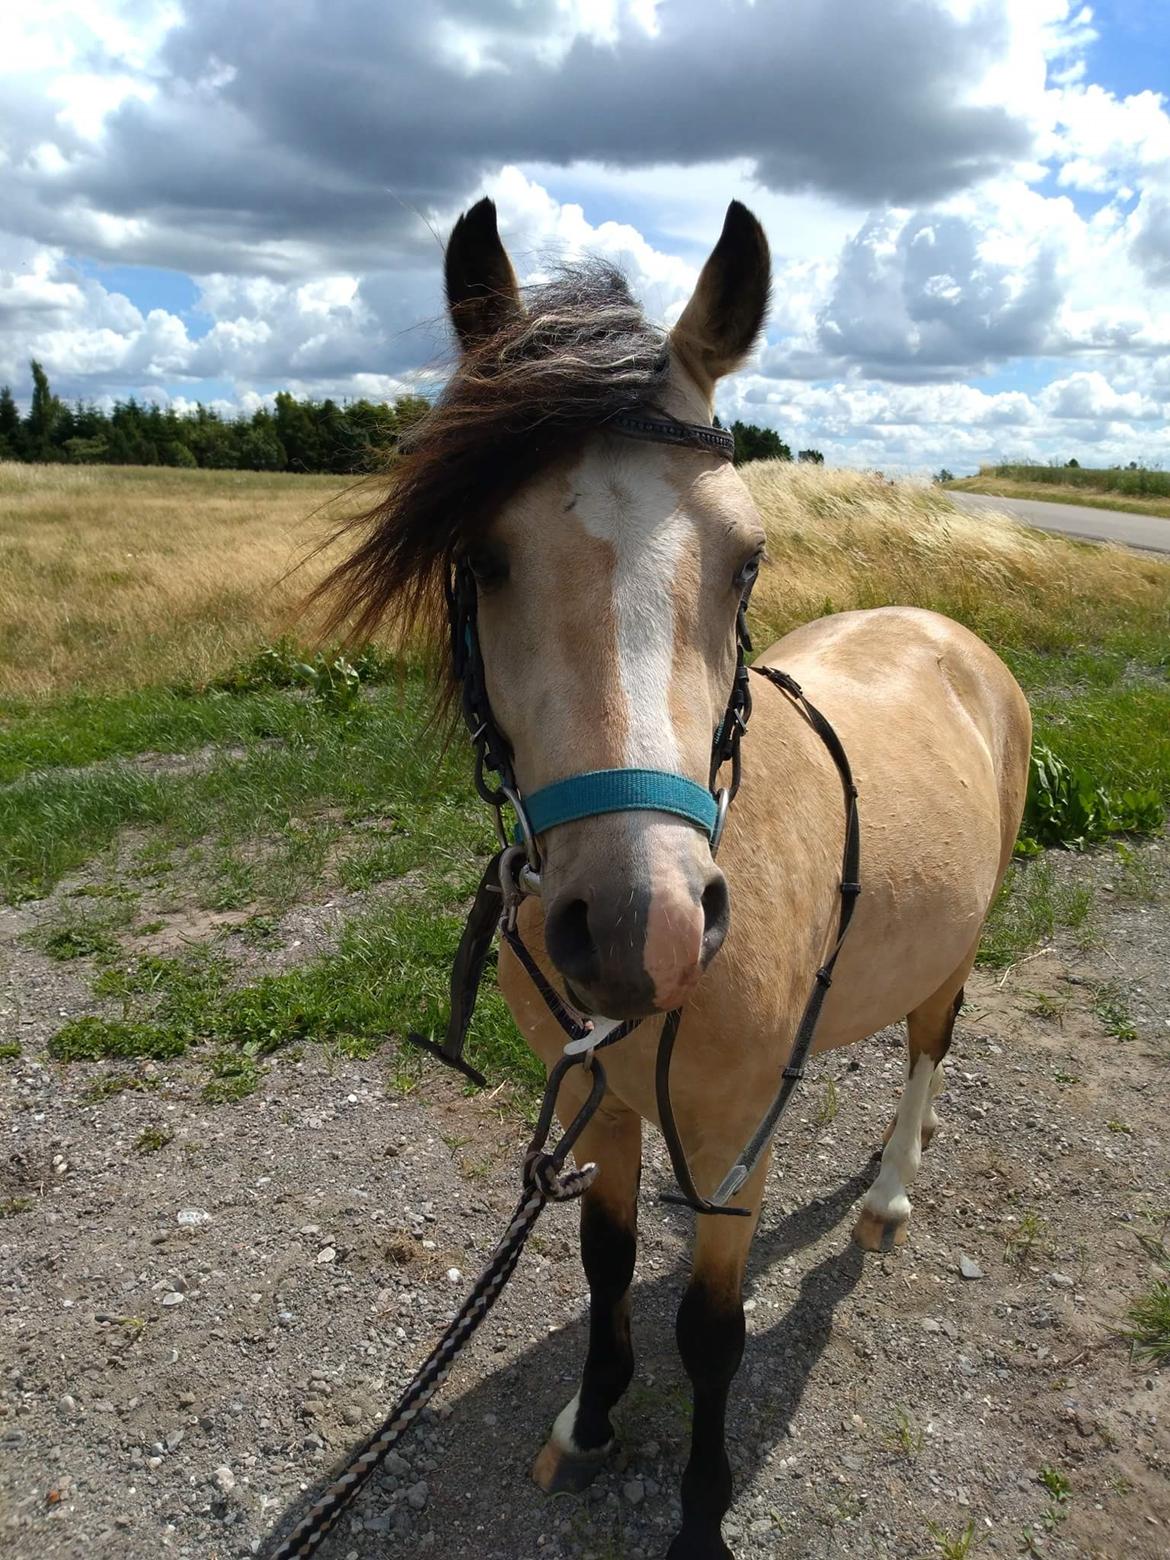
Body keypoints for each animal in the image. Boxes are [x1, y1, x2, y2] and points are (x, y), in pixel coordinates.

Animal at [314, 198, 1032, 1560]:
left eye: (746, 558)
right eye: (483, 555)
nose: (637, 932)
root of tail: (946, 631)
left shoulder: (733, 1135)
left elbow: (713, 1334)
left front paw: (699, 1518)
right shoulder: (601, 1107)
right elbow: (603, 1266)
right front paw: (590, 1421)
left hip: (960, 951)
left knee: (930, 1046)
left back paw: (891, 1192)